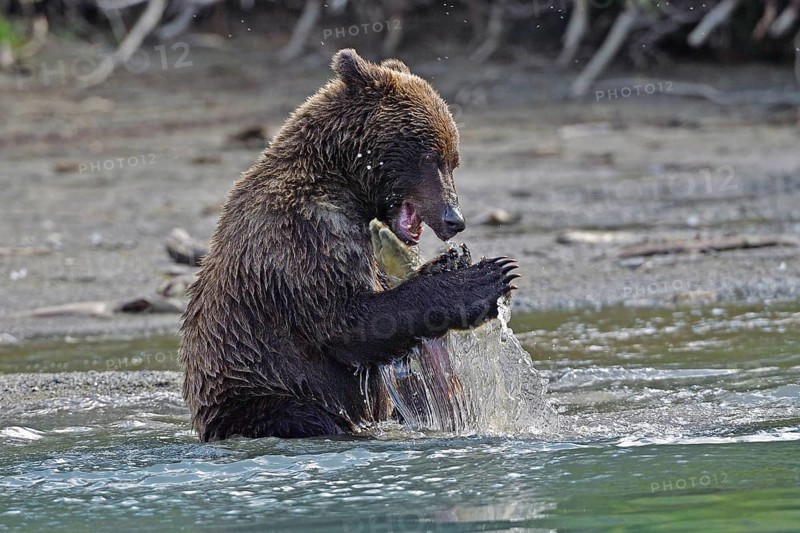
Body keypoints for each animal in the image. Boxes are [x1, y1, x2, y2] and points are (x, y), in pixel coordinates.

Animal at [179, 49, 518, 441]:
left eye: (453, 160)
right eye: (430, 156)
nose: (454, 219)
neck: (341, 182)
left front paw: (451, 262)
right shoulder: (305, 233)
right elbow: (349, 322)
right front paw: (488, 277)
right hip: (258, 393)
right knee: (303, 414)